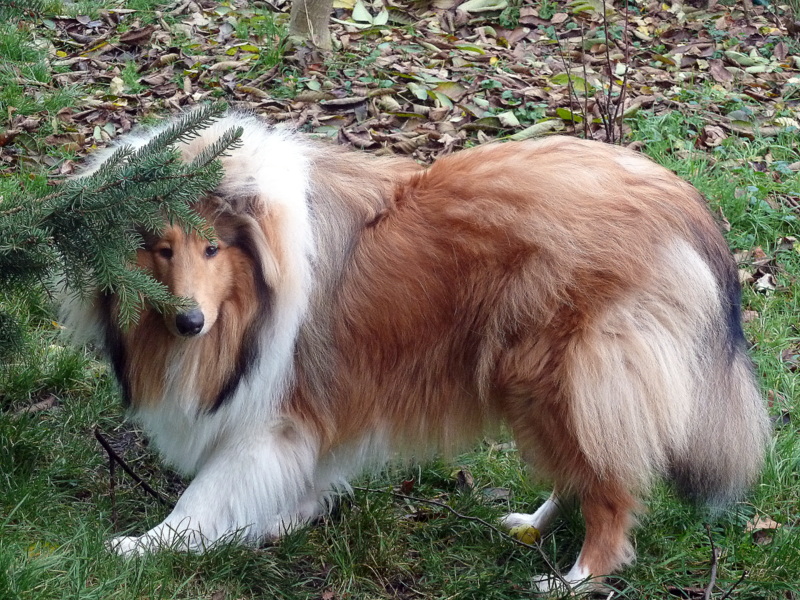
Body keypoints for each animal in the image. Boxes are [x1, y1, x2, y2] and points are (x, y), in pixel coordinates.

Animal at [62, 111, 768, 592]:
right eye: (161, 248)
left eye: (212, 247)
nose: (189, 322)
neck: (251, 296)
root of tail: (683, 202)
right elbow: (307, 472)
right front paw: (293, 515)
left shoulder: (266, 419)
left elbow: (205, 496)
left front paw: (145, 546)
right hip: (541, 385)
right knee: (586, 470)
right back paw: (533, 526)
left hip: (563, 377)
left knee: (612, 488)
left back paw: (574, 577)